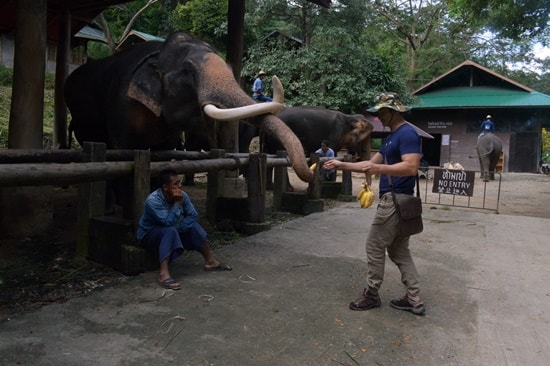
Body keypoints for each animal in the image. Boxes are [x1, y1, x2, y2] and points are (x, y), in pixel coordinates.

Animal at [64, 32, 314, 186]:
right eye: (189, 72)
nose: (312, 169)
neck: (157, 54)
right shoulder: (121, 106)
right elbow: (122, 151)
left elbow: (161, 155)